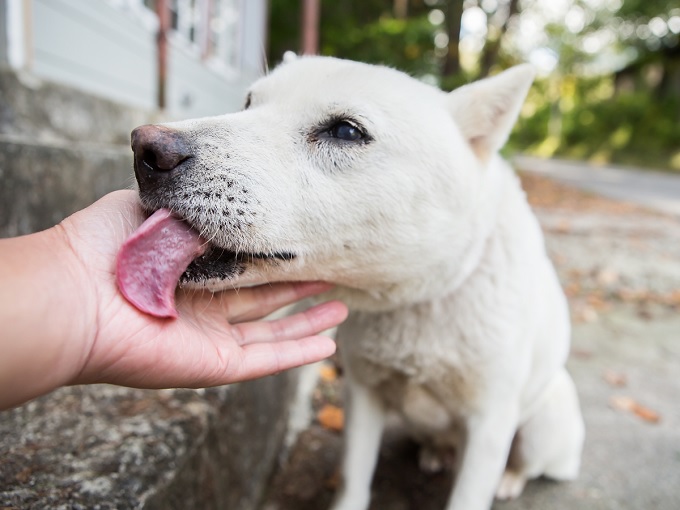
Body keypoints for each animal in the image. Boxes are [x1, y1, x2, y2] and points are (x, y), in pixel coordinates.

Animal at [122, 55, 584, 510]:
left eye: (346, 131)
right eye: (249, 102)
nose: (145, 149)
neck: (418, 300)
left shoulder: (489, 423)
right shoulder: (362, 395)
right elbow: (354, 476)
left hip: (543, 421)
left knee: (530, 463)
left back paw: (508, 479)